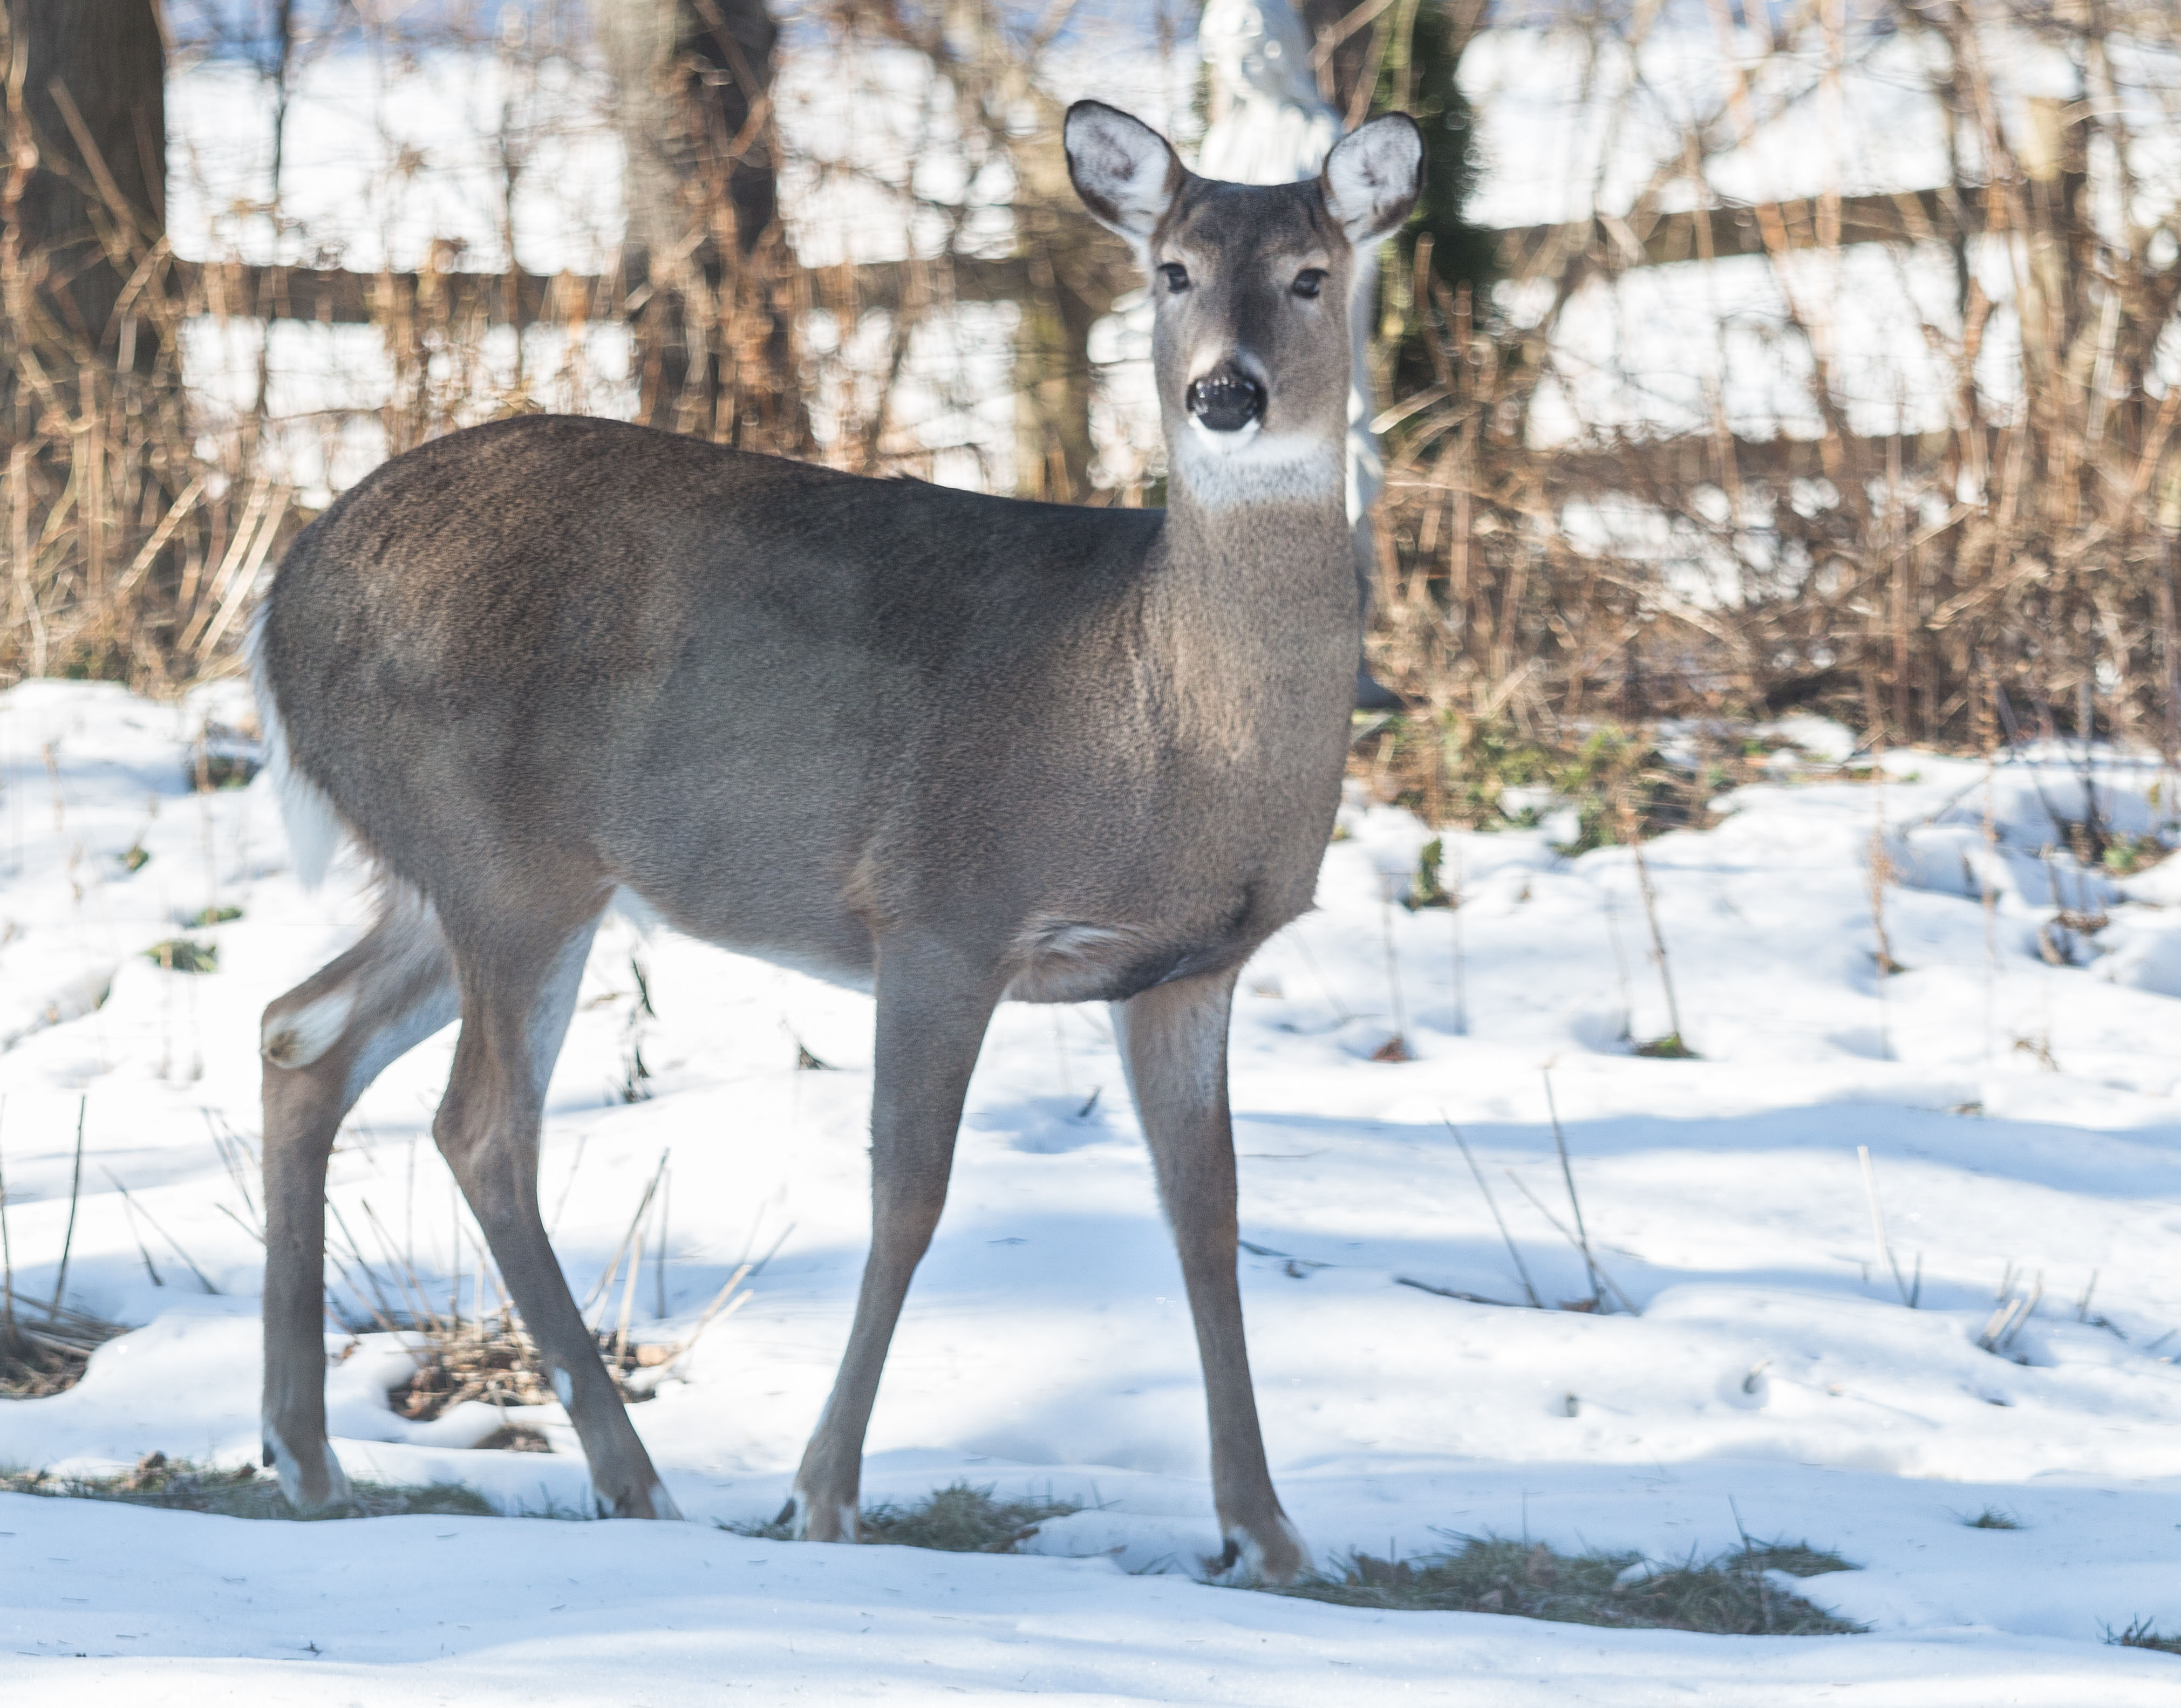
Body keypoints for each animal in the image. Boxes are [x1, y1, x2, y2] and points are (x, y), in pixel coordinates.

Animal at [247, 100, 1422, 1579]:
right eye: (1173, 270)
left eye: (1312, 276)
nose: (1226, 391)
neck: (1162, 716)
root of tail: (278, 607)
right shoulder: (939, 911)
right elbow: (908, 1195)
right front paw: (822, 1494)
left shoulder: (1190, 966)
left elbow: (1205, 1217)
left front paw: (1266, 1531)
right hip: (507, 860)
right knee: (480, 1124)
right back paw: (630, 1478)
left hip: (445, 870)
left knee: (300, 1031)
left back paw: (306, 1454)